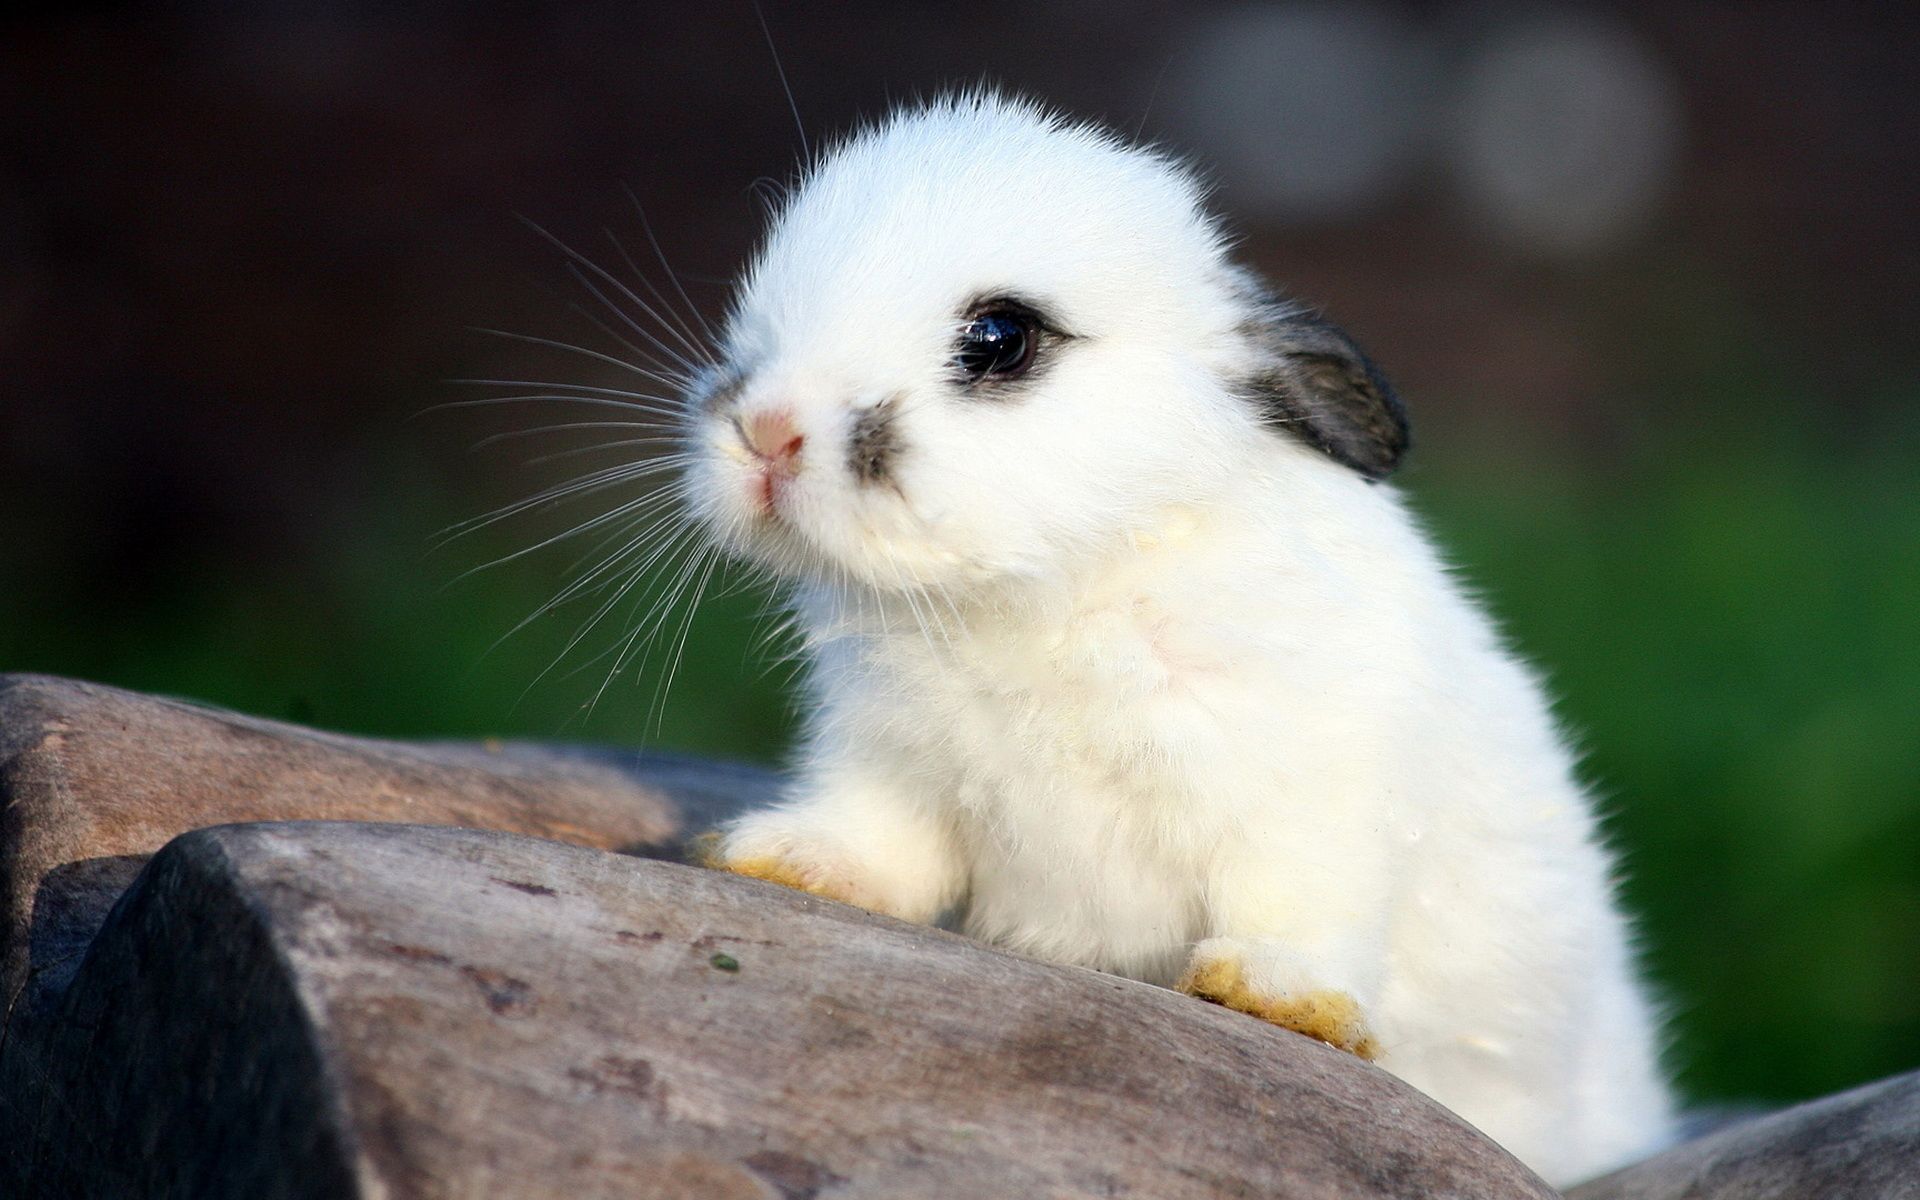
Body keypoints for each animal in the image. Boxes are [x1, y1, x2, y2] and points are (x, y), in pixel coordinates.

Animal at [681, 92, 1674, 1186]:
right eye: (762, 310)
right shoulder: (889, 764)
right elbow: (879, 844)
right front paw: (783, 859)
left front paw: (1273, 995)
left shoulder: (1311, 790)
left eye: (999, 338)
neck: (1051, 591)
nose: (767, 433)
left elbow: (1299, 899)